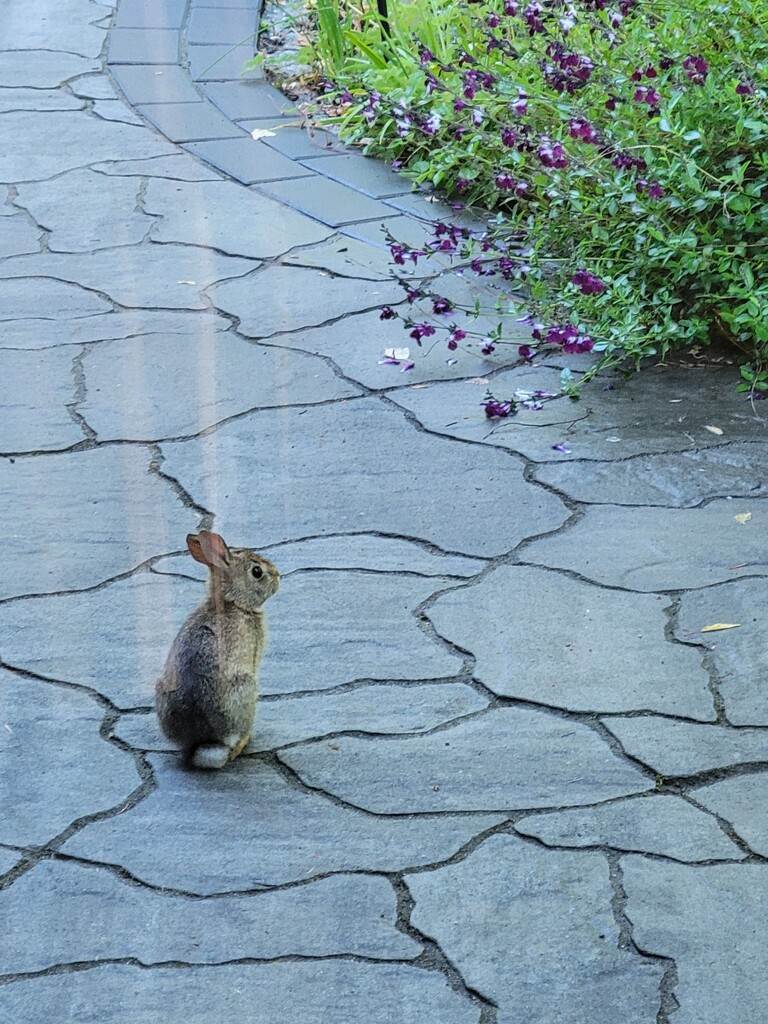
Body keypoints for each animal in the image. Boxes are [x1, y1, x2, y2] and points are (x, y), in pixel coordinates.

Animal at [155, 530, 280, 770]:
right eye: (257, 572)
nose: (278, 576)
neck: (233, 602)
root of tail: (201, 744)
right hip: (247, 688)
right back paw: (244, 740)